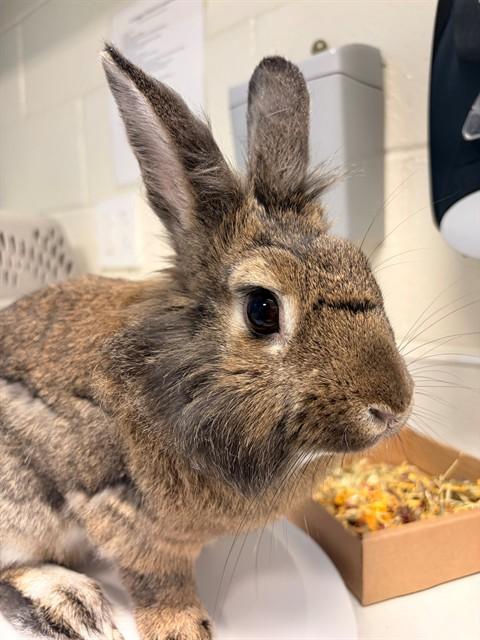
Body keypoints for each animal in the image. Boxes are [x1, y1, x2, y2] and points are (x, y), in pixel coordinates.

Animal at [0, 45, 414, 640]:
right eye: (263, 310)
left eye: (364, 270)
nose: (392, 408)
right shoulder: (127, 520)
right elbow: (159, 584)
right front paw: (184, 629)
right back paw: (73, 604)